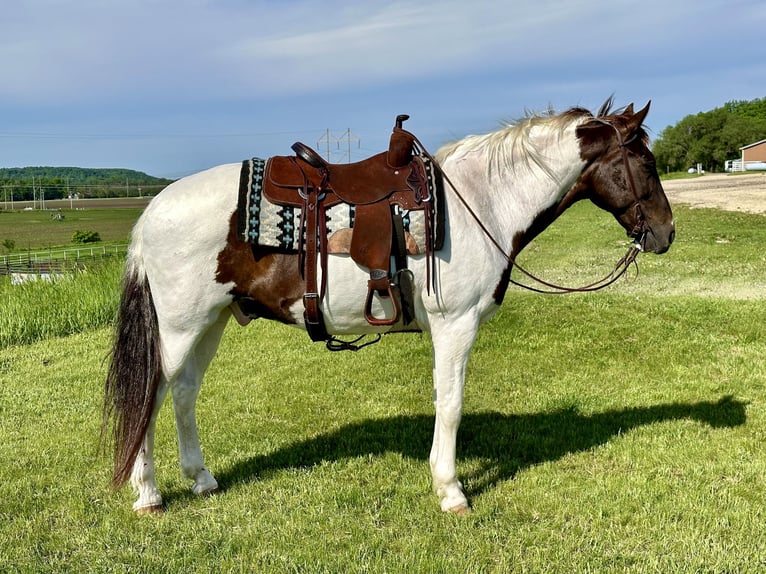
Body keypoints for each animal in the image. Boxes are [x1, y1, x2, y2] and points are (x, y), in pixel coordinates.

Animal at [103, 100, 680, 516]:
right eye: (646, 162)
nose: (666, 233)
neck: (484, 201)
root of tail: (150, 213)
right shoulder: (455, 326)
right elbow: (451, 403)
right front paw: (451, 490)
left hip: (213, 322)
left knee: (182, 393)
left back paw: (200, 479)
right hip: (180, 328)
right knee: (152, 396)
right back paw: (148, 494)